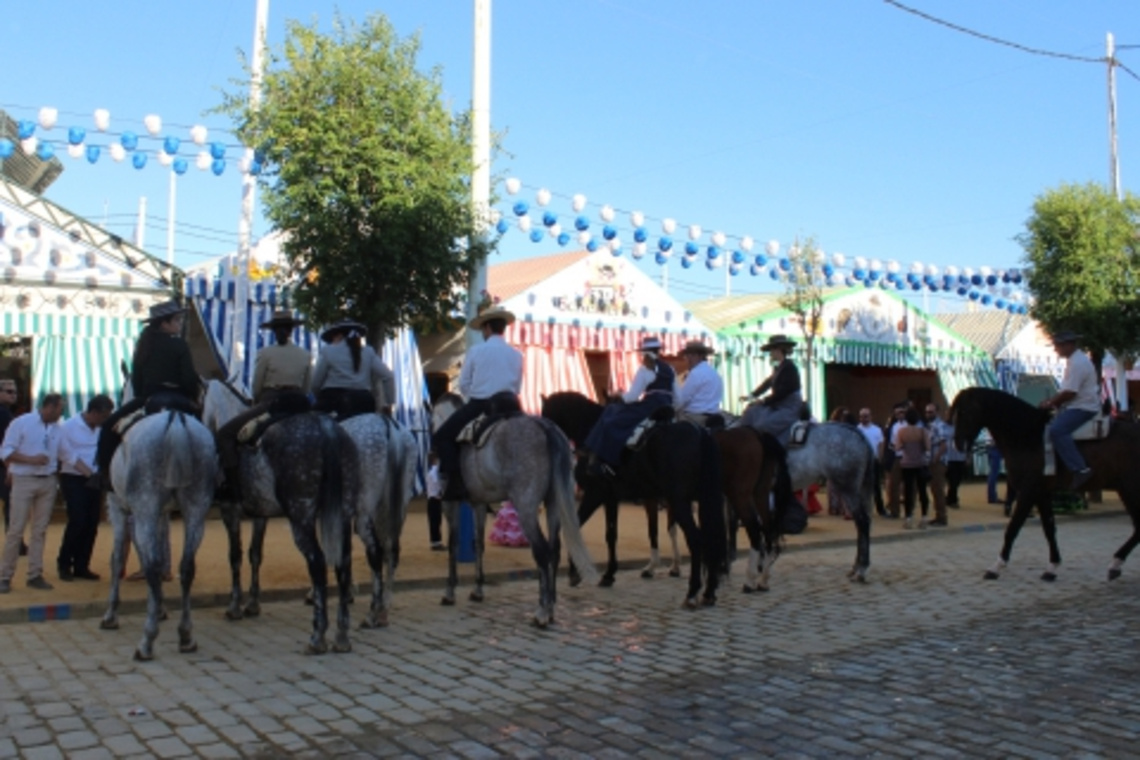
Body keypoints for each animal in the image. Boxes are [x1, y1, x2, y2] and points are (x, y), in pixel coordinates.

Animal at [99, 396, 216, 660]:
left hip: (145, 506)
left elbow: (118, 559)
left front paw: (111, 615)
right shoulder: (161, 513)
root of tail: (175, 419)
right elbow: (162, 558)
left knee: (151, 565)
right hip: (196, 507)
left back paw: (146, 641)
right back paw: (186, 636)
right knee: (187, 567)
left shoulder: (119, 508)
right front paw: (159, 606)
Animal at [200, 378, 357, 651]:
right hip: (342, 517)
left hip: (301, 517)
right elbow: (255, 554)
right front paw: (252, 604)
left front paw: (234, 607)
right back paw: (341, 636)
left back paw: (318, 636)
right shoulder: (260, 513)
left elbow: (235, 555)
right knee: (343, 562)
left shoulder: (230, 510)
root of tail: (326, 428)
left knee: (317, 561)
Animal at [430, 396, 601, 628]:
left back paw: (542, 612)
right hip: (553, 503)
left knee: (542, 551)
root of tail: (546, 428)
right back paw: (551, 607)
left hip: (526, 507)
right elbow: (478, 544)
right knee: (554, 549)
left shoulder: (450, 504)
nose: (430, 454)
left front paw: (449, 592)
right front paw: (477, 590)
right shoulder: (479, 503)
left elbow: (453, 545)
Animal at [538, 391, 788, 592]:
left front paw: (585, 573)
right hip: (757, 495)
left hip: (738, 496)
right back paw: (761, 577)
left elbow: (585, 529)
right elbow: (646, 530)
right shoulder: (621, 497)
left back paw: (748, 579)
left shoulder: (598, 494)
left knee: (754, 530)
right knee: (767, 529)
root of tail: (754, 433)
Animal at [948, 387, 1140, 583]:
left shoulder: (1028, 492)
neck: (1027, 436)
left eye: (964, 411)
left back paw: (1115, 563)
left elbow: (1013, 528)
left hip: (1131, 489)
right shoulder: (1041, 493)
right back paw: (1115, 565)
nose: (957, 444)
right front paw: (1052, 567)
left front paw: (996, 567)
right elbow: (1049, 528)